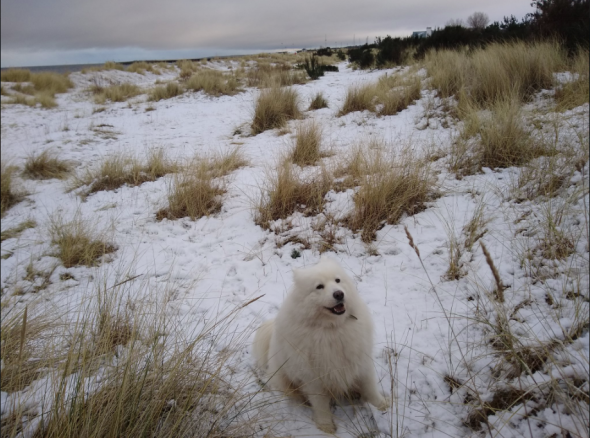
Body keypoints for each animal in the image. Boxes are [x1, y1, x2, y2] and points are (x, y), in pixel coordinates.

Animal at [253, 256, 388, 432]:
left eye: (337, 280)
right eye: (319, 287)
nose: (339, 294)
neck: (332, 328)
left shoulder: (361, 362)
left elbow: (370, 387)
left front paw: (382, 406)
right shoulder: (313, 377)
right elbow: (320, 405)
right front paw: (326, 426)